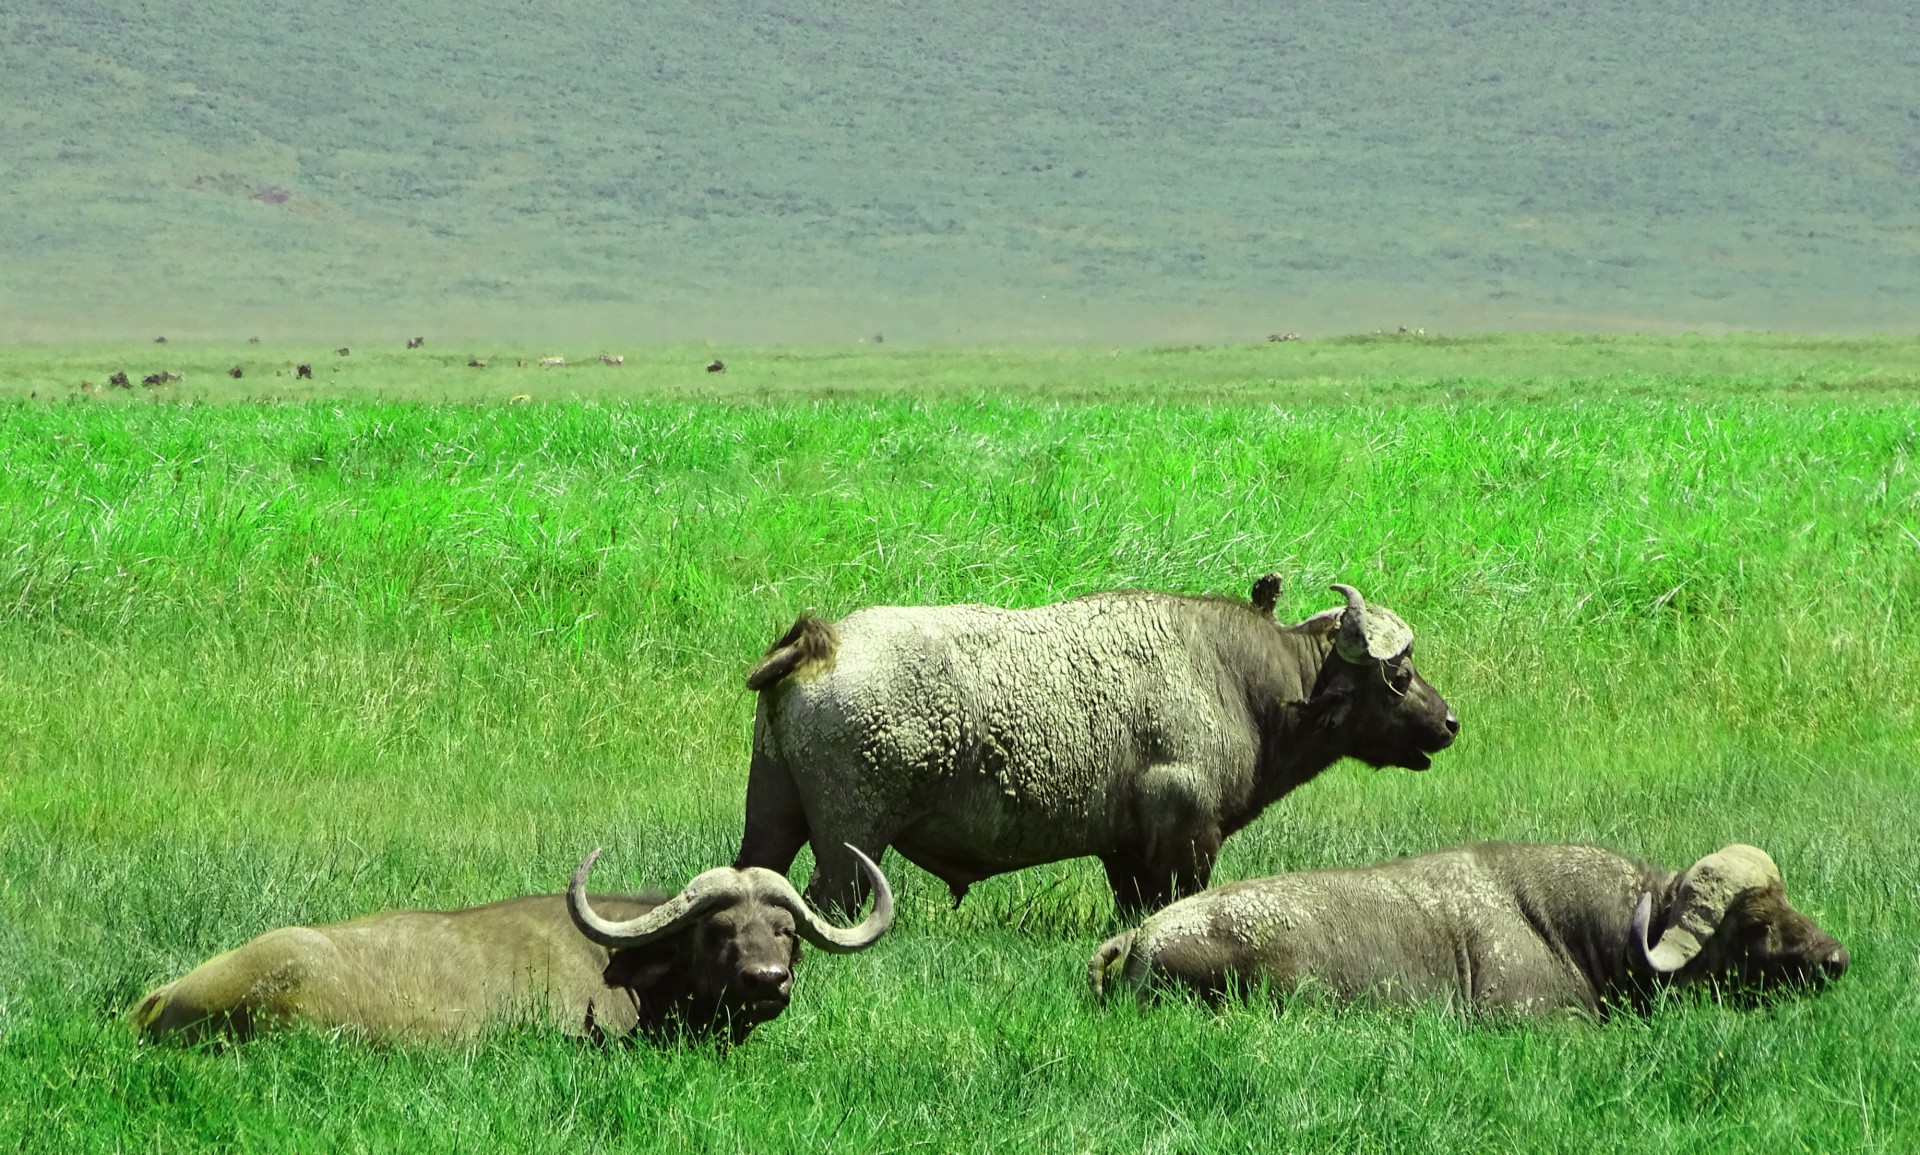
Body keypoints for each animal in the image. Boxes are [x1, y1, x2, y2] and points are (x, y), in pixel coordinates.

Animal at [733, 575, 1451, 909]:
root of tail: (824, 644)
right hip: (851, 845)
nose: (1450, 722)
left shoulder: (1124, 855)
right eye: (1399, 676)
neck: (1235, 678)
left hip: (770, 817)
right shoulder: (1188, 843)